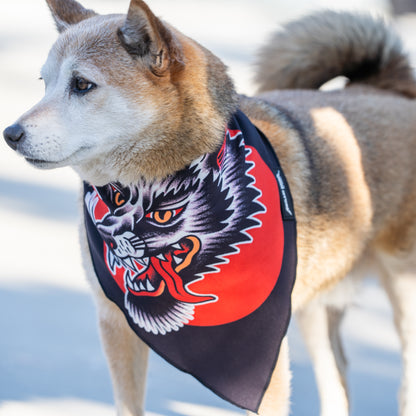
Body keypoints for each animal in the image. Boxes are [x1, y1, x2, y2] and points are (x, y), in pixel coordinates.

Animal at [3, 0, 416, 416]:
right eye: (44, 83)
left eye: (82, 85)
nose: (10, 134)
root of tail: (387, 90)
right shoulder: (115, 323)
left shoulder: (265, 360)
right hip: (315, 306)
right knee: (337, 381)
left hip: (401, 294)